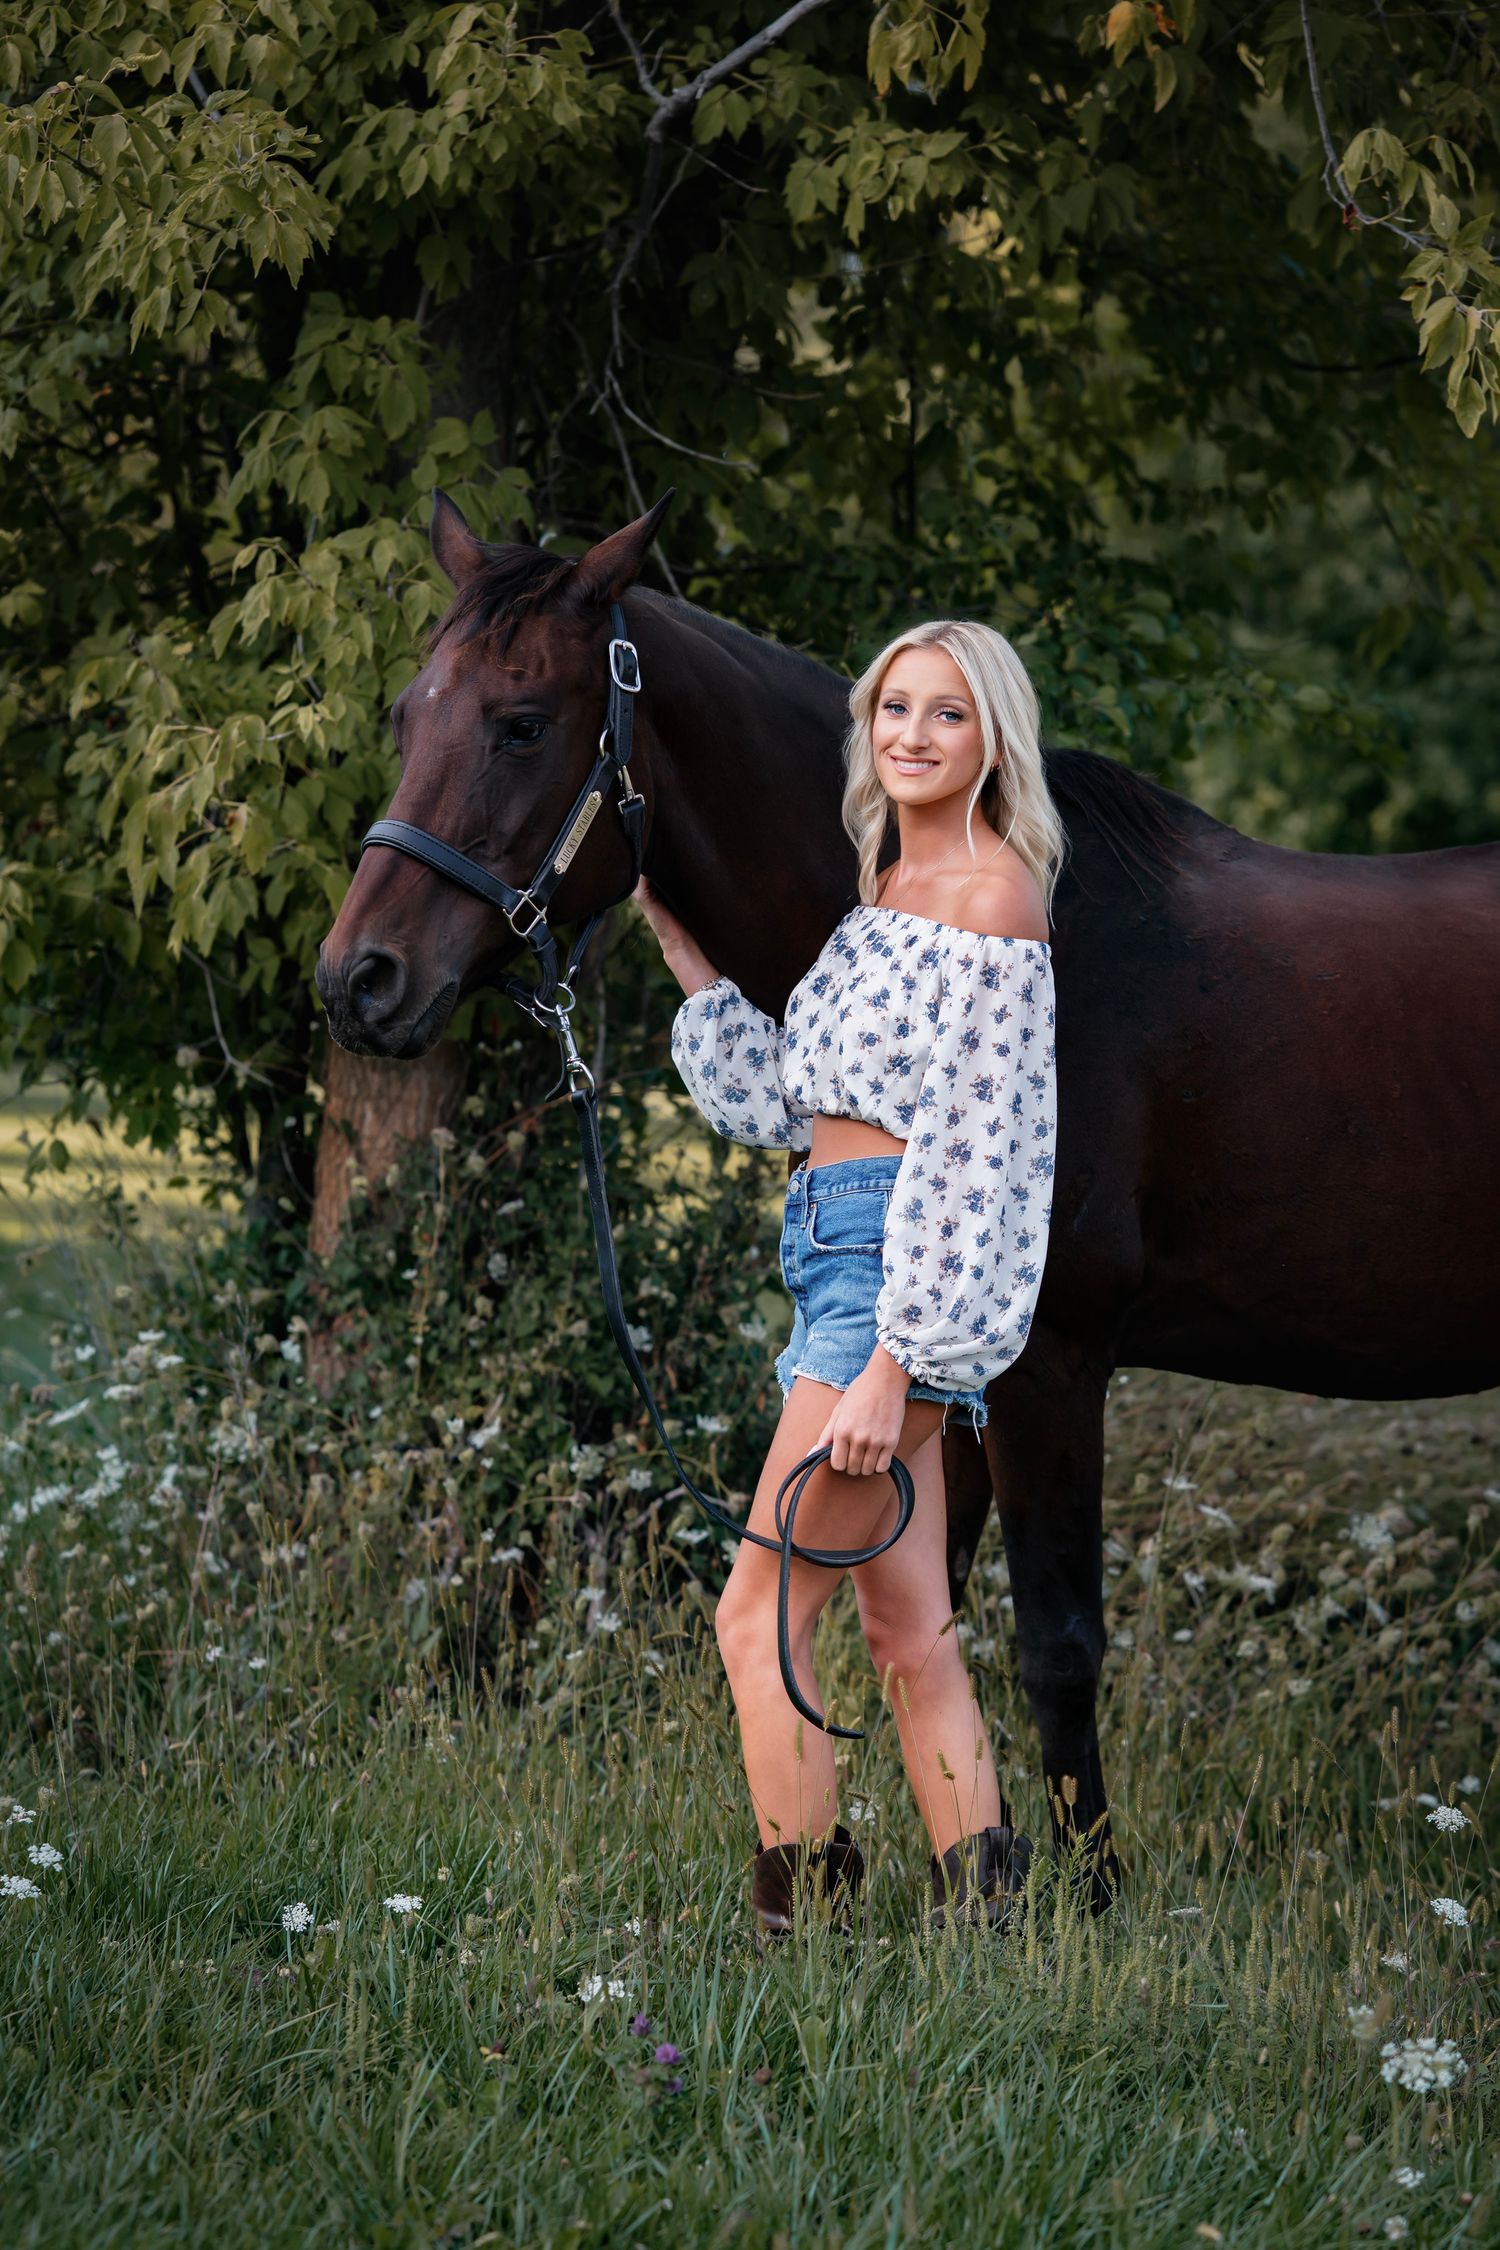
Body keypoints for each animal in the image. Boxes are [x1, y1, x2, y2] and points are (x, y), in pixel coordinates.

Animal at [317, 492, 1500, 1912]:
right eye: (405, 715)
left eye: (523, 724)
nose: (359, 981)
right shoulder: (937, 1398)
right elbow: (904, 1605)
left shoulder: (1048, 1364)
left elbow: (1055, 1641)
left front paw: (1088, 1899)